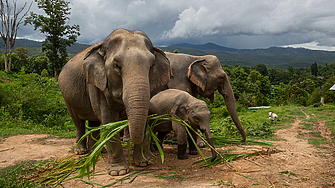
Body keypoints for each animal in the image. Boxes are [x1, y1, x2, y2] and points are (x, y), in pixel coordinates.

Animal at [57, 28, 172, 176]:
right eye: (116, 65)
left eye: (152, 65)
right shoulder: (97, 84)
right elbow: (109, 122)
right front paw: (119, 172)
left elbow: (145, 117)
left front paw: (144, 163)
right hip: (66, 96)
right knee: (78, 123)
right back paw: (81, 152)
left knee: (94, 123)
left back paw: (99, 151)